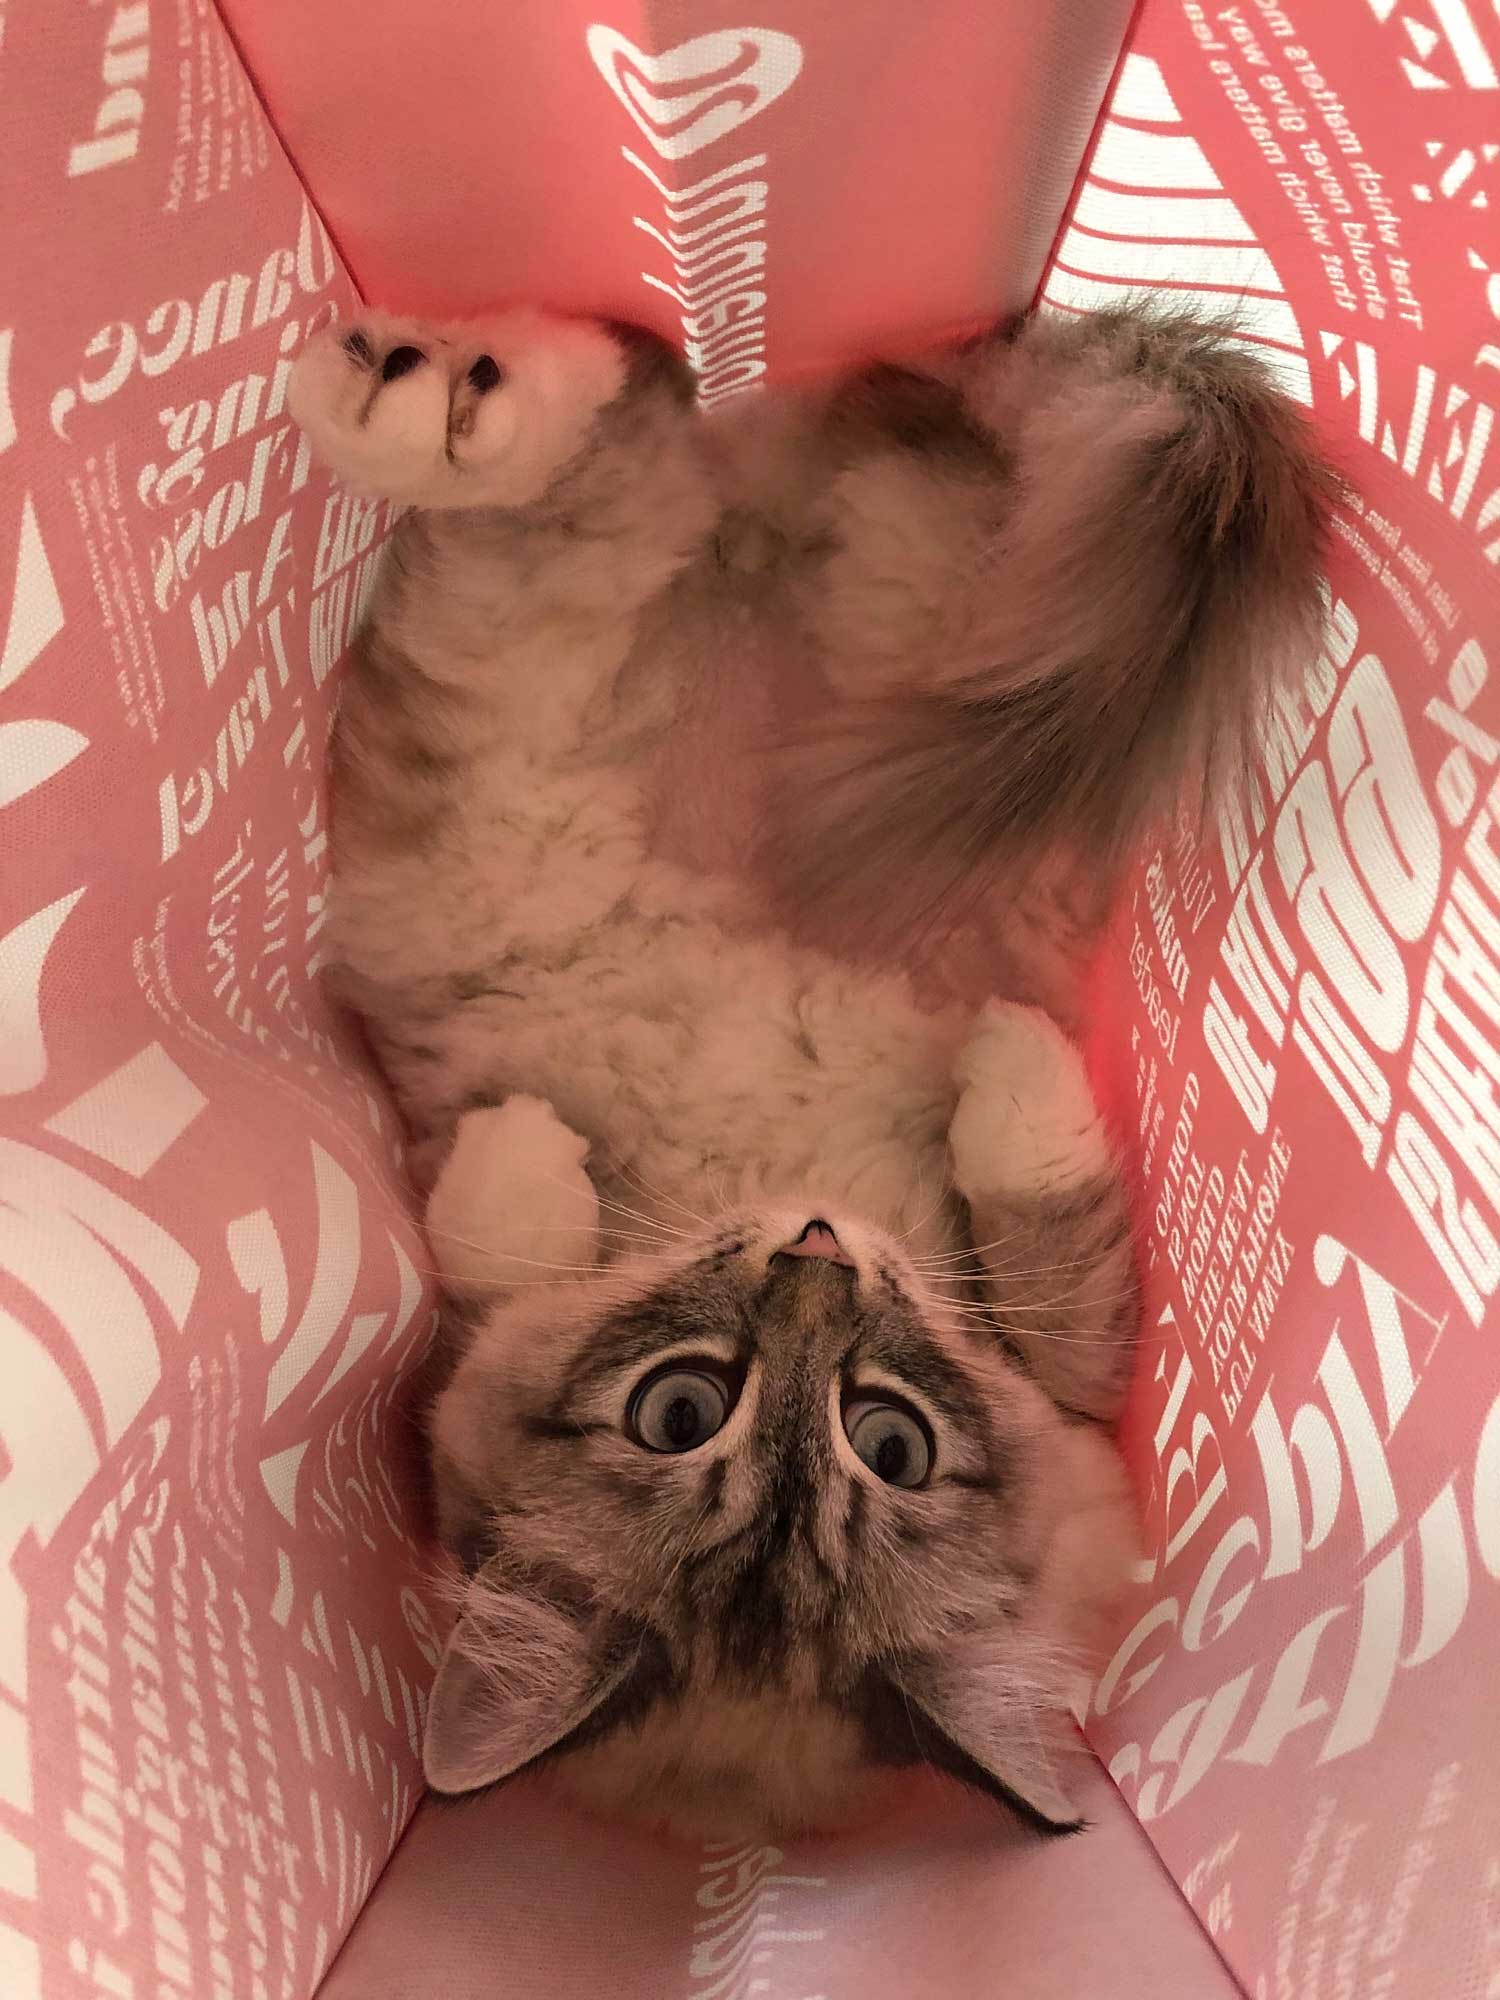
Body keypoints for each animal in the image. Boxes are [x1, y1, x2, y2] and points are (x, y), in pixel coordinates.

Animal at [287, 304, 1330, 1840]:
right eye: (680, 1410)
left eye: (889, 1441)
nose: (817, 1256)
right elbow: (489, 1244)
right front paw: (525, 1140)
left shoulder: (1076, 1370)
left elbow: (1050, 1223)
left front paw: (1005, 1054)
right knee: (591, 453)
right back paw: (425, 390)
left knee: (610, 429)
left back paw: (425, 386)